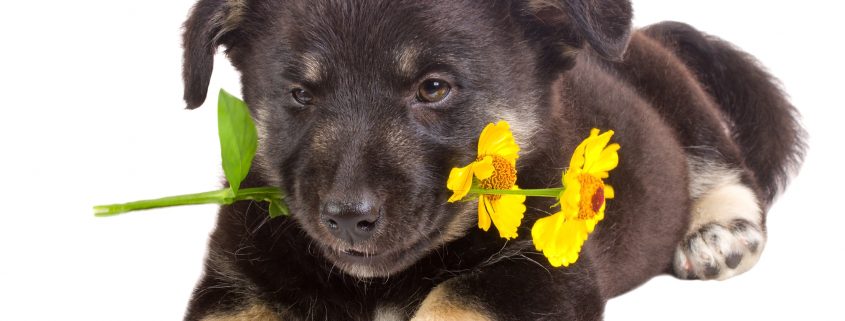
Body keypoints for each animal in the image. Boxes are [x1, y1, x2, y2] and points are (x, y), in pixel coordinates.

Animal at [180, 1, 804, 318]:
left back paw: (719, 235)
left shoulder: (541, 275)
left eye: (433, 88)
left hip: (679, 98)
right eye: (299, 95)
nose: (346, 218)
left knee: (725, 166)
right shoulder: (237, 281)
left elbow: (458, 299)